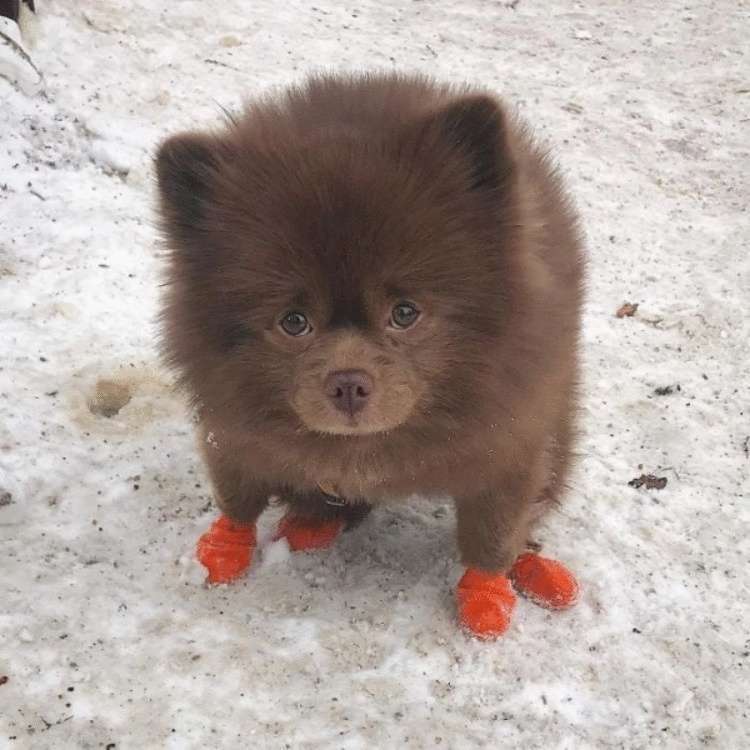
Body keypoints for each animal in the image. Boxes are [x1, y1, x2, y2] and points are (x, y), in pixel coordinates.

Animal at [154, 73, 588, 640]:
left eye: (404, 313)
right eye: (293, 322)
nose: (348, 383)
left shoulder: (509, 443)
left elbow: (496, 528)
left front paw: (486, 593)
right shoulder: (231, 430)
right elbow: (237, 496)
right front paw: (226, 544)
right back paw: (315, 520)